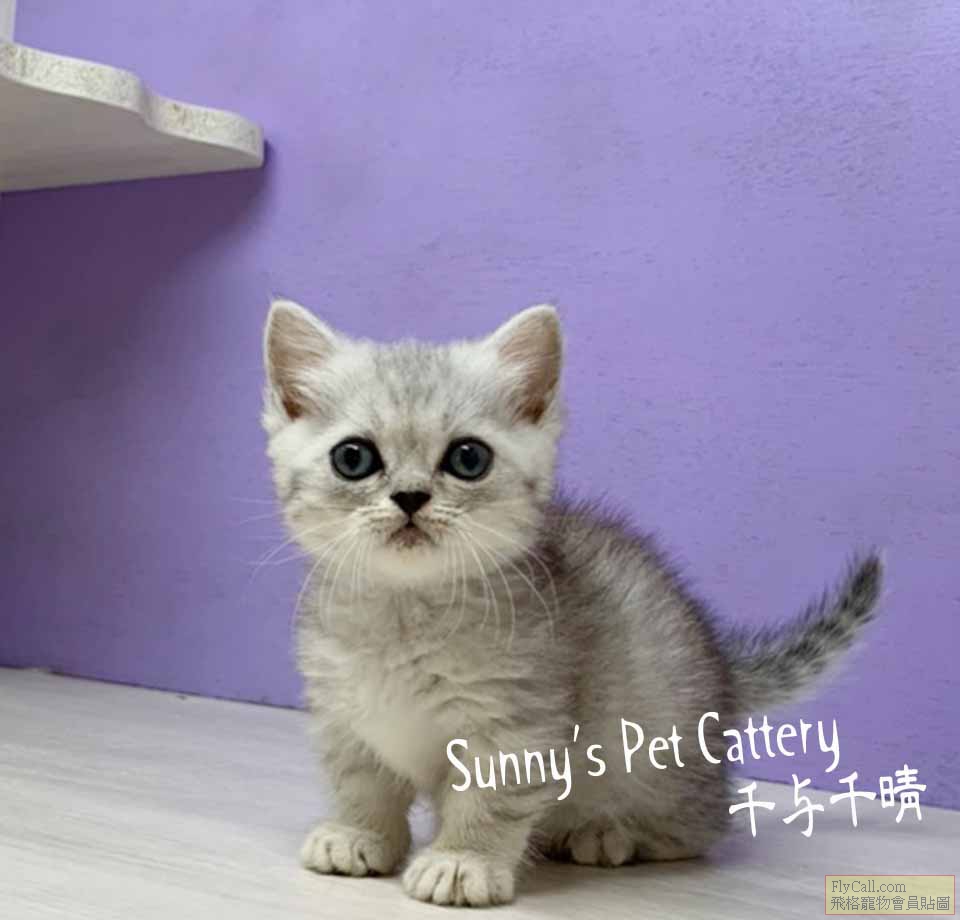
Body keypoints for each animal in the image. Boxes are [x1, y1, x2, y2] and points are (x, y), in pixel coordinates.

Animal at [261, 298, 881, 907]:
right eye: (353, 458)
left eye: (468, 459)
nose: (411, 497)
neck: (403, 614)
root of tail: (723, 670)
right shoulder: (344, 716)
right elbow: (360, 783)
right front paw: (358, 833)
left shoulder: (518, 722)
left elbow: (490, 799)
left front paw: (463, 860)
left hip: (661, 754)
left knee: (703, 826)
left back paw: (608, 833)